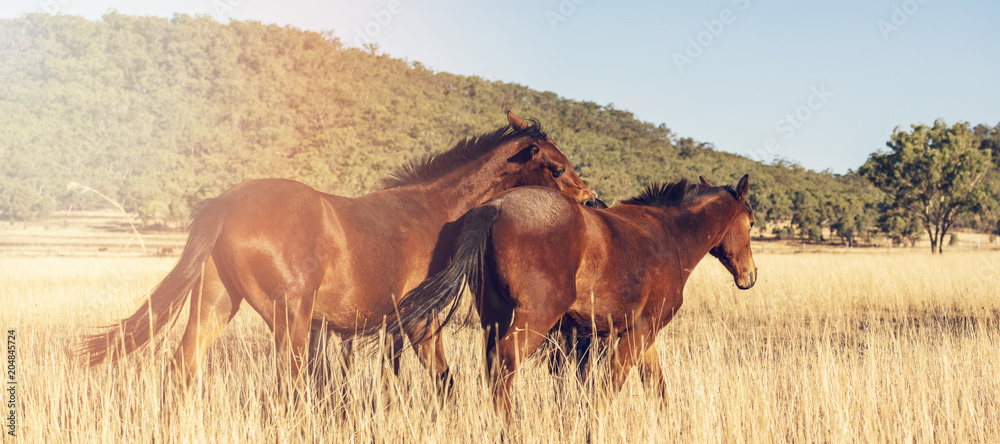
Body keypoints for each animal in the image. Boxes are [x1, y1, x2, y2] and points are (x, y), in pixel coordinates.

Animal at [82, 111, 596, 396]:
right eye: (556, 167)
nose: (592, 201)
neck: (433, 211)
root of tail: (227, 202)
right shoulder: (419, 323)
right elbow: (441, 381)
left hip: (216, 305)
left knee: (182, 369)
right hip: (286, 316)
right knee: (286, 385)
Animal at [386, 175, 752, 418]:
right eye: (750, 223)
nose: (750, 275)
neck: (668, 236)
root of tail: (495, 206)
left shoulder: (641, 335)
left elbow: (656, 387)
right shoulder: (638, 332)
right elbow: (609, 388)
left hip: (494, 317)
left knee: (491, 367)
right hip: (533, 320)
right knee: (504, 365)